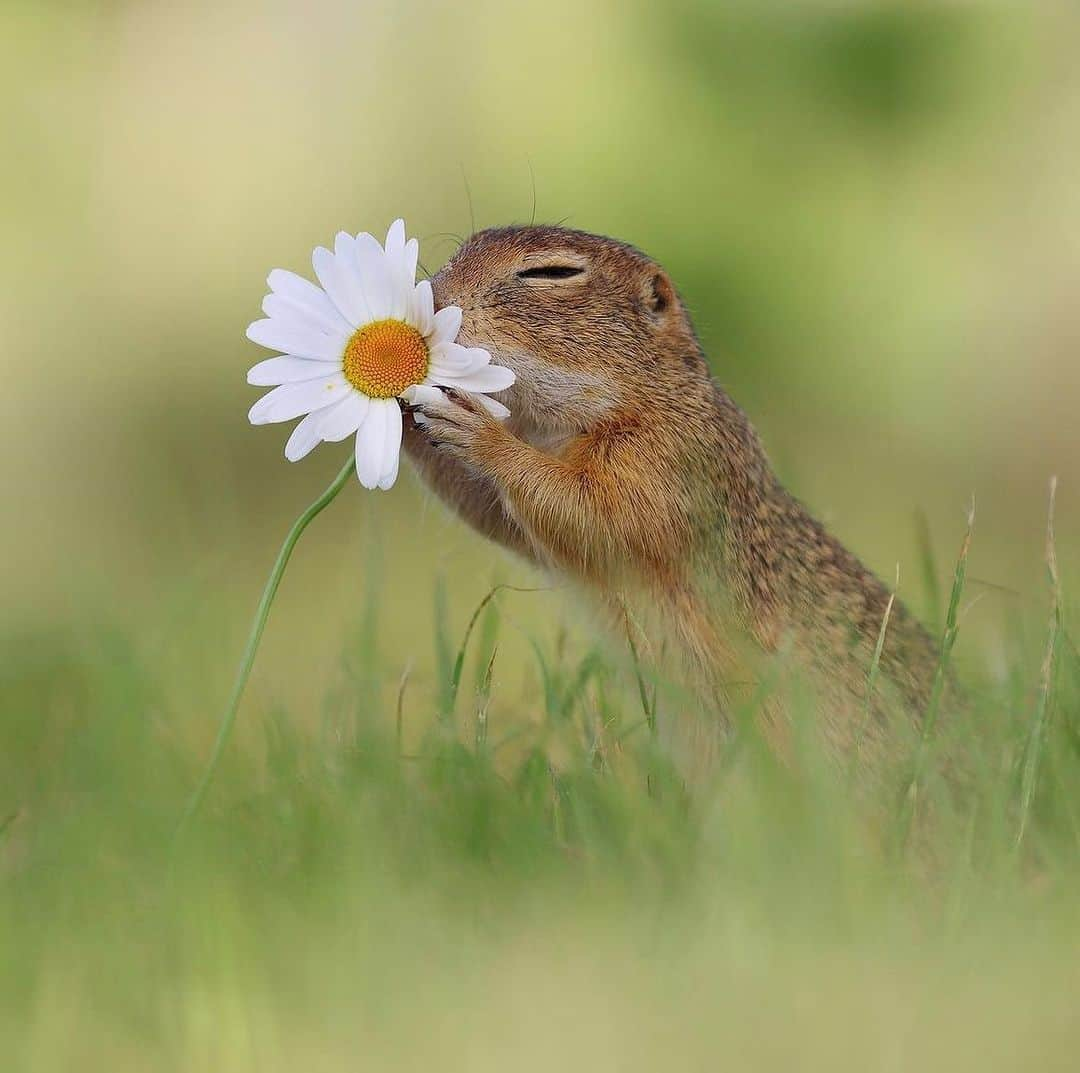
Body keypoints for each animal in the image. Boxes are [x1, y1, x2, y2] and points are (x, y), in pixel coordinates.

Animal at [403, 221, 937, 764]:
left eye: (552, 273)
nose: (433, 297)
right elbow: (494, 512)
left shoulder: (669, 461)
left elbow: (597, 512)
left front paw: (480, 431)